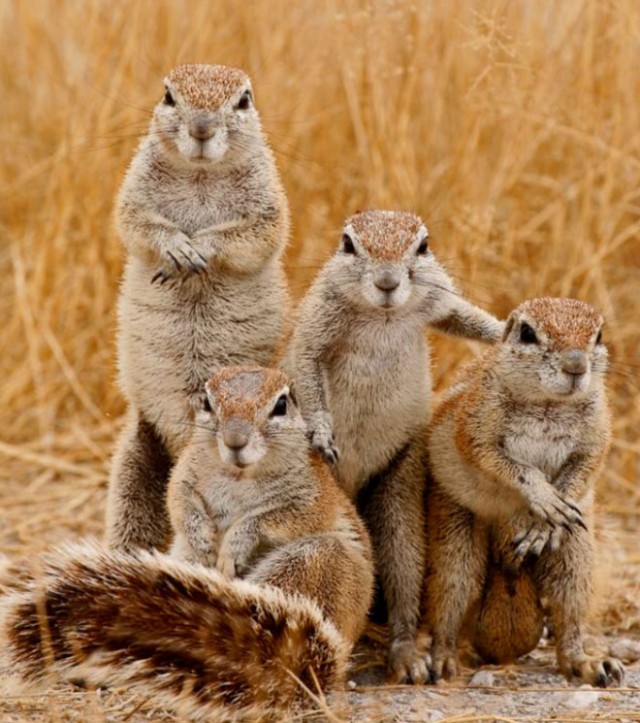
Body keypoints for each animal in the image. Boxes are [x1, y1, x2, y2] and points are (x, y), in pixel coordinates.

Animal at [1, 368, 376, 723]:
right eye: (207, 402)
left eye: (281, 405)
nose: (235, 440)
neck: (238, 476)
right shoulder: (184, 474)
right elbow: (180, 503)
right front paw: (202, 537)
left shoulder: (312, 498)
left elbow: (274, 517)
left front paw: (236, 541)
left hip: (315, 561)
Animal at [107, 63, 290, 556]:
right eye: (169, 95)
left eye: (243, 100)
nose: (202, 128)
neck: (201, 175)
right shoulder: (133, 192)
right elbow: (135, 223)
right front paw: (176, 247)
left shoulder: (268, 203)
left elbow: (253, 234)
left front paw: (201, 247)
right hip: (135, 462)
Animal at [282, 209, 502, 684]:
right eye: (348, 244)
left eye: (423, 246)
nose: (387, 282)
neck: (381, 315)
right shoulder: (317, 320)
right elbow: (307, 365)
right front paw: (322, 432)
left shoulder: (436, 298)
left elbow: (463, 315)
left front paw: (508, 328)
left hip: (400, 482)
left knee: (403, 565)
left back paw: (406, 654)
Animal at [424, 296, 624, 688]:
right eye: (528, 333)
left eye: (598, 335)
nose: (576, 365)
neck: (548, 404)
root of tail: (506, 564)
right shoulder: (475, 422)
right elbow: (504, 463)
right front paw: (544, 498)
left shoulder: (597, 434)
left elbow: (583, 470)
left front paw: (544, 525)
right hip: (455, 539)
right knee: (451, 598)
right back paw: (442, 660)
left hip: (577, 554)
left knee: (568, 612)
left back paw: (588, 663)